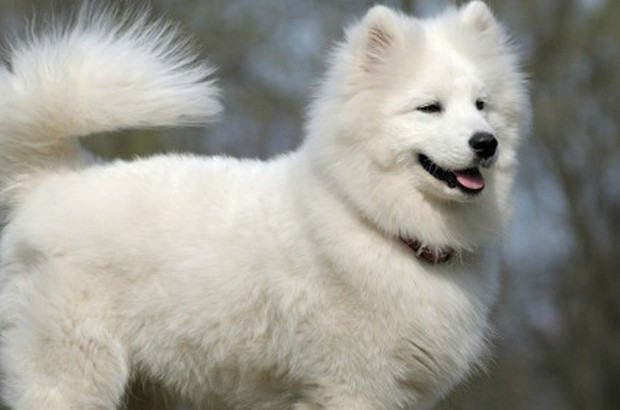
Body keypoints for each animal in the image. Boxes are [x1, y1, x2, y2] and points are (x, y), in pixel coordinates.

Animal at [0, 1, 528, 408]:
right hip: (75, 377)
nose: (486, 143)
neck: (374, 221)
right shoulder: (351, 387)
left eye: (481, 105)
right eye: (429, 108)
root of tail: (55, 181)